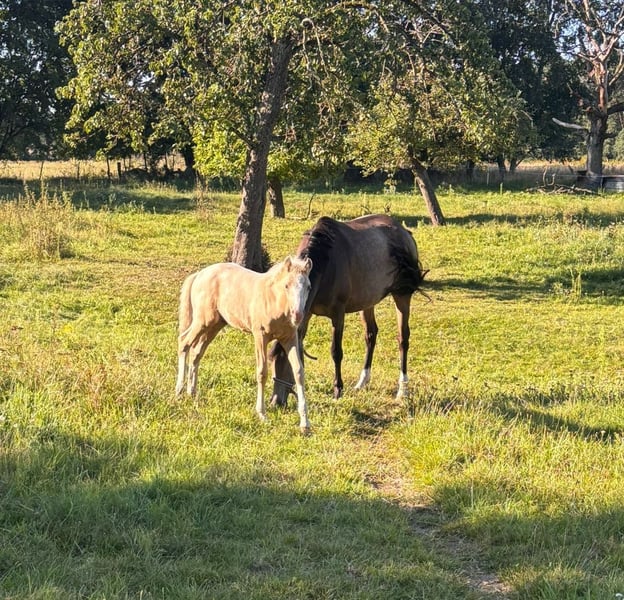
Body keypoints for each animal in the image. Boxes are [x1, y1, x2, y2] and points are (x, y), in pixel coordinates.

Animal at [176, 255, 313, 432]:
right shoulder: (260, 336)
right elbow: (262, 372)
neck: (273, 300)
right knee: (184, 342)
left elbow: (298, 372)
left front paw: (305, 423)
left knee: (196, 352)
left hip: (214, 324)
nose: (297, 316)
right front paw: (262, 414)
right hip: (202, 321)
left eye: (308, 287)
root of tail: (199, 274)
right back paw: (179, 391)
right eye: (287, 285)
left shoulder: (289, 338)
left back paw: (191, 393)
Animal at [270, 214, 425, 406]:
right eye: (272, 361)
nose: (275, 402)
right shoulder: (306, 313)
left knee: (403, 339)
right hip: (367, 301)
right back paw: (362, 381)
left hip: (401, 295)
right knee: (371, 335)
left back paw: (402, 389)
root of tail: (404, 232)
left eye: (287, 363)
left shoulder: (338, 313)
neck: (325, 263)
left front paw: (338, 389)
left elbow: (336, 352)